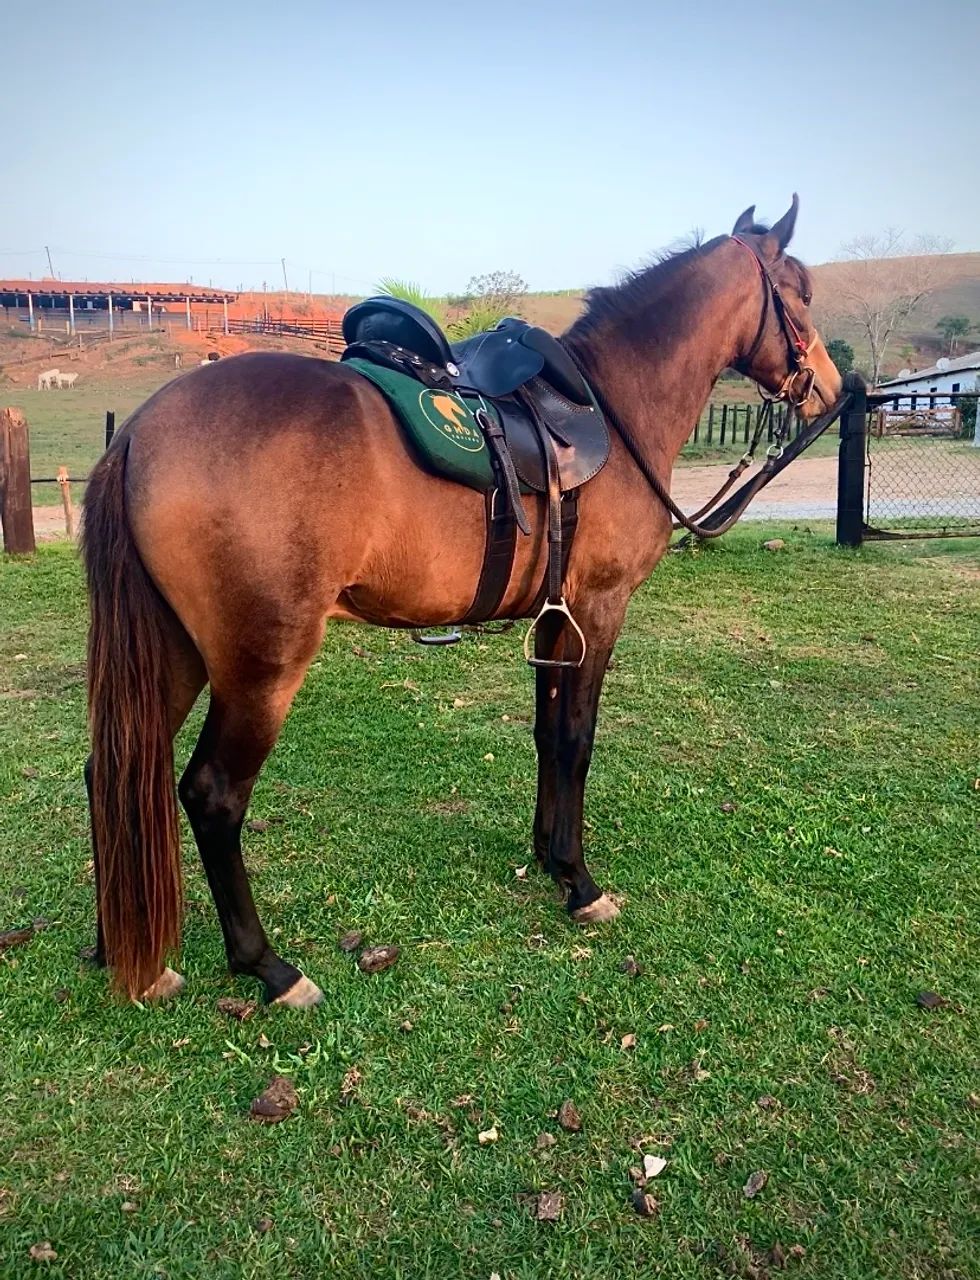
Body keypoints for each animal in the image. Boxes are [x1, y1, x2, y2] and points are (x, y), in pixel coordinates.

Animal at [82, 196, 842, 1006]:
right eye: (799, 293)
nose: (830, 387)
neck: (612, 407)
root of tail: (138, 435)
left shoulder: (555, 621)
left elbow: (548, 737)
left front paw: (547, 857)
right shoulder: (599, 612)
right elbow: (578, 740)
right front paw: (580, 882)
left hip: (176, 653)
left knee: (112, 769)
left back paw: (124, 950)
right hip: (259, 666)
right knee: (214, 795)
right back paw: (268, 967)